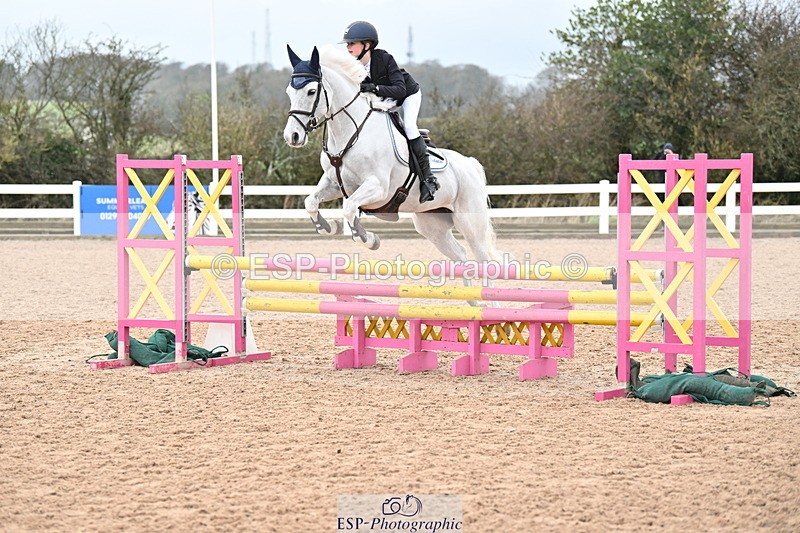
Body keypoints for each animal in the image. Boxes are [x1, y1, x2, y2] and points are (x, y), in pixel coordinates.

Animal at [283, 44, 501, 267]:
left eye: (311, 91)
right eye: (289, 91)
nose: (292, 136)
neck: (352, 132)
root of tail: (471, 164)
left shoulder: (378, 188)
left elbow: (349, 208)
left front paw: (369, 239)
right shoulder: (336, 184)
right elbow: (311, 202)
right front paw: (329, 227)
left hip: (470, 222)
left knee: (484, 258)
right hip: (432, 224)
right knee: (460, 254)